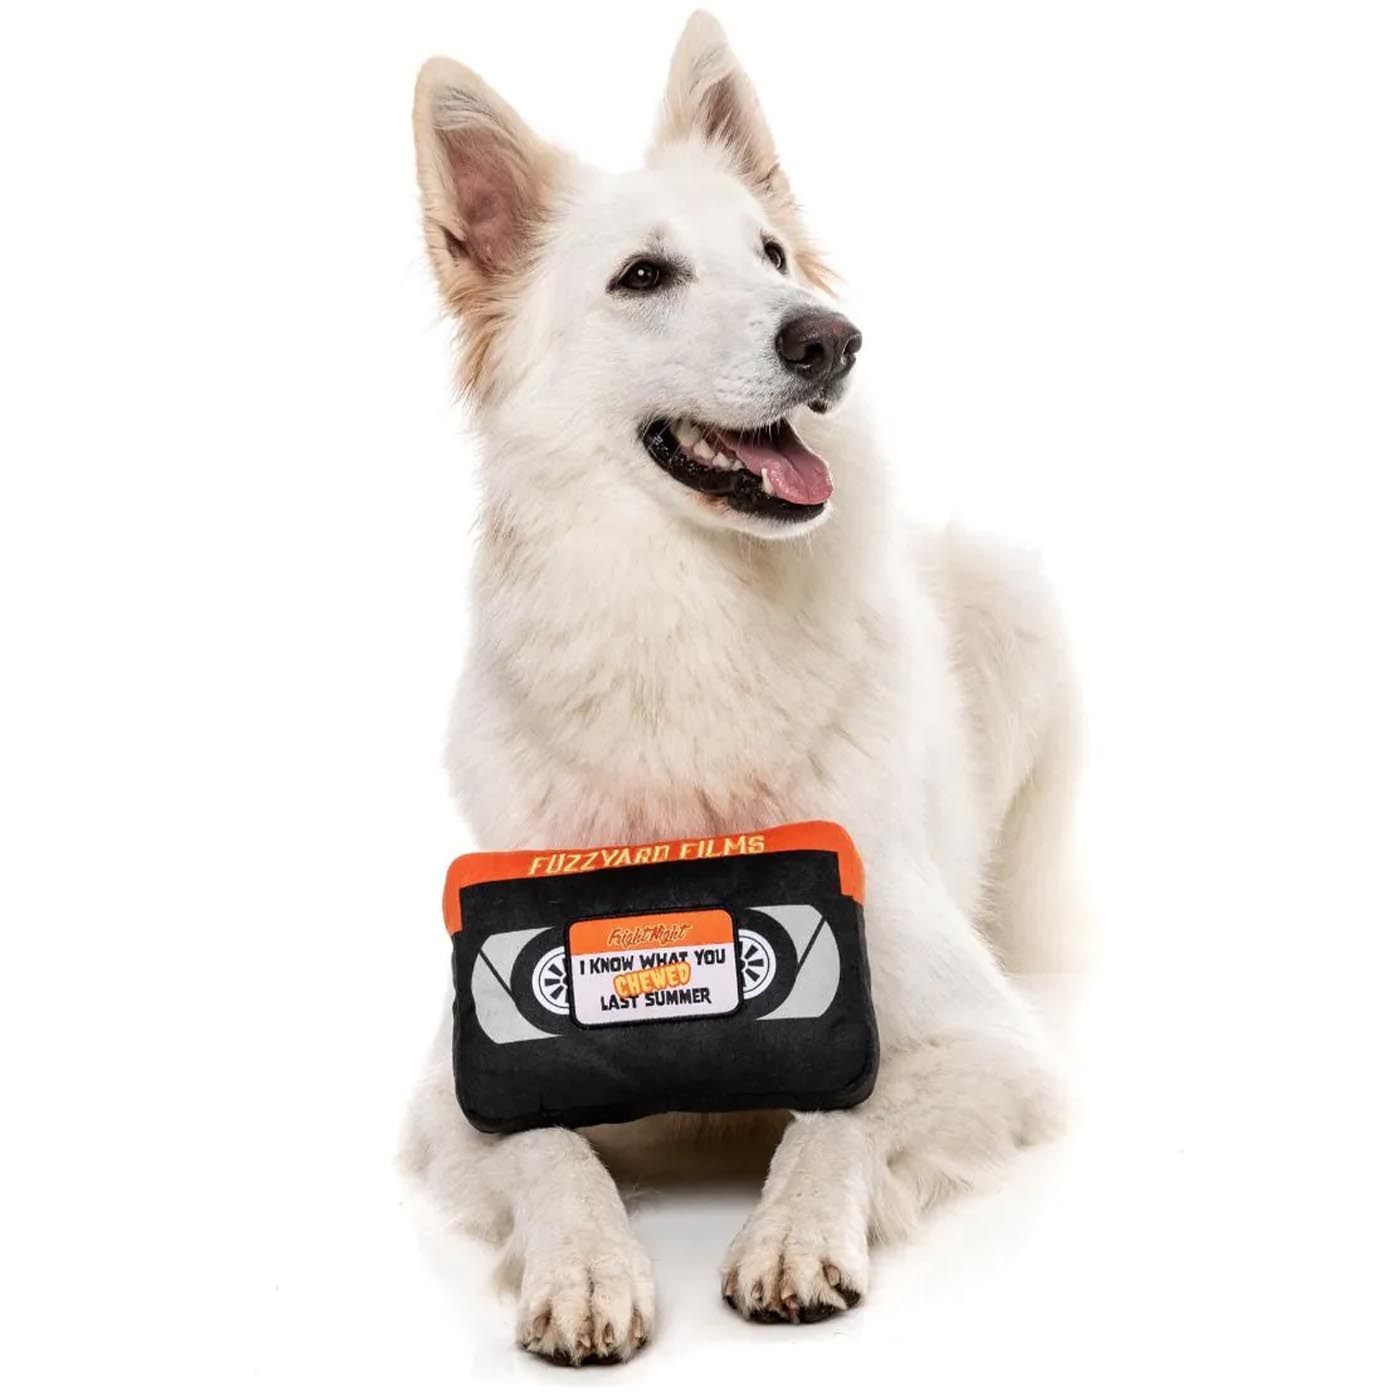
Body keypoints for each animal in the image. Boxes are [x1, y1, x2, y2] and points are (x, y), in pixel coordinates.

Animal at [401, 10, 1080, 1365]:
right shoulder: (456, 1078)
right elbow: (551, 1146)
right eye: (642, 277)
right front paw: (588, 1267)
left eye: (769, 254)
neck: (693, 622)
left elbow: (837, 1115)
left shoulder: (983, 1039)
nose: (829, 337)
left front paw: (790, 1232)